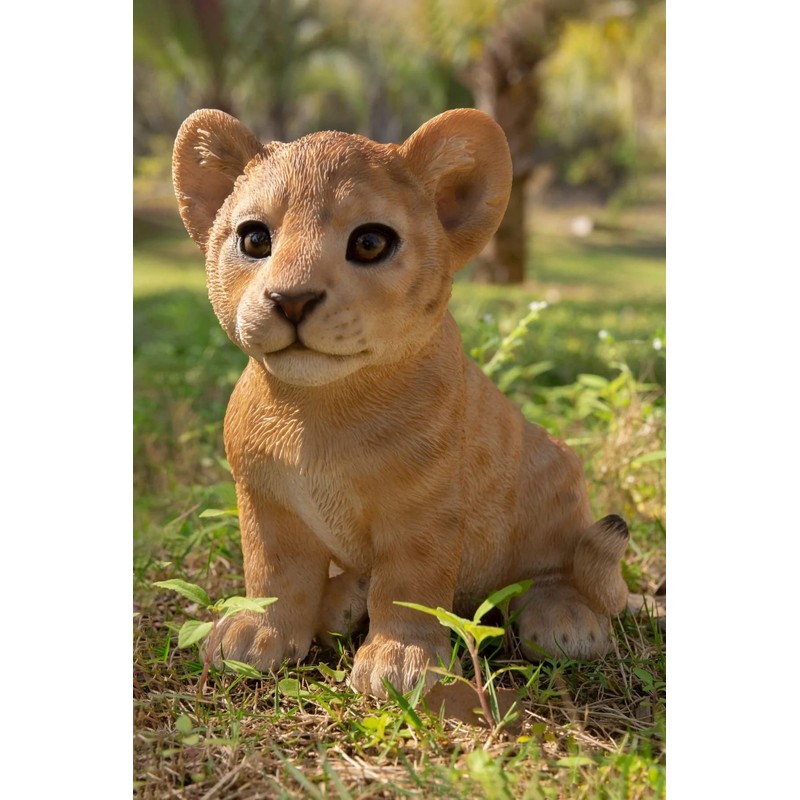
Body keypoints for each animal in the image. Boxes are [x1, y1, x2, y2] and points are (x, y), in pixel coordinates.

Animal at [172, 108, 630, 698]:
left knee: (559, 569)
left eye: (370, 242)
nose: (291, 300)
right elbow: (272, 571)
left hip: (556, 473)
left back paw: (564, 620)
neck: (315, 409)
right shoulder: (266, 501)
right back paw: (341, 604)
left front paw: (401, 662)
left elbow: (410, 585)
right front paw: (254, 635)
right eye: (254, 239)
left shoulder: (423, 510)